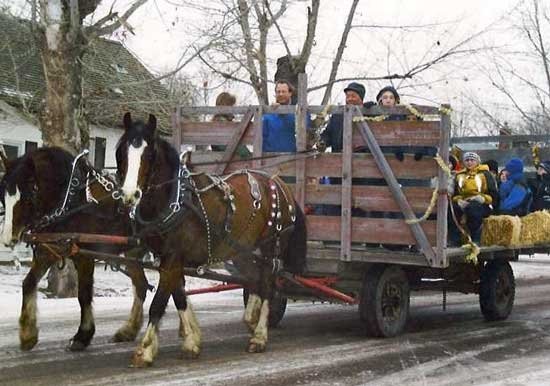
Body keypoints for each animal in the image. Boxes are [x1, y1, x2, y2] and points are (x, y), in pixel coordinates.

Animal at [0, 149, 151, 352]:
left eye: (29, 194)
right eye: (3, 196)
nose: (8, 238)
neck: (70, 200)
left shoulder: (84, 255)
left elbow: (84, 294)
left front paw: (83, 335)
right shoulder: (49, 250)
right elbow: (28, 283)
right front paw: (27, 334)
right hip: (133, 252)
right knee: (142, 285)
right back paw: (128, 330)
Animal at [116, 113, 308, 366]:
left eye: (149, 155)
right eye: (121, 153)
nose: (129, 195)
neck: (175, 200)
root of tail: (279, 183)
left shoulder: (173, 257)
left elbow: (159, 302)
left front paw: (145, 350)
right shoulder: (167, 258)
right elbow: (179, 296)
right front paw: (191, 341)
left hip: (271, 247)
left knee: (268, 285)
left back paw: (259, 336)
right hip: (245, 251)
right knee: (254, 279)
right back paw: (251, 319)